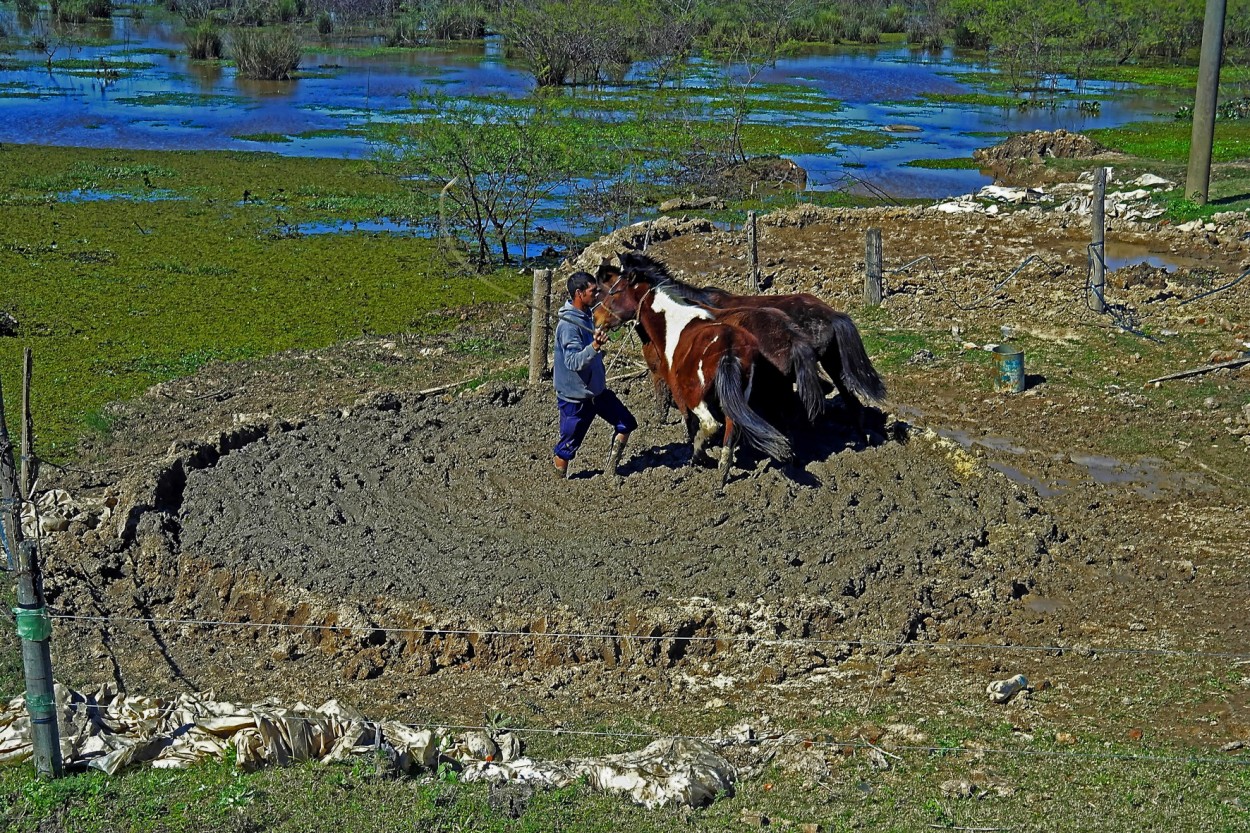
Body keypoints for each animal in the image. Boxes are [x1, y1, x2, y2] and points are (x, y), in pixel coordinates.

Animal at [590, 266, 785, 482]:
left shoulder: (679, 393)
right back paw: (721, 476)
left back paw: (700, 456)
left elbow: (690, 424)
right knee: (731, 430)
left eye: (613, 292)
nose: (596, 317)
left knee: (711, 425)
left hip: (696, 397)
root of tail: (728, 348)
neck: (673, 324)